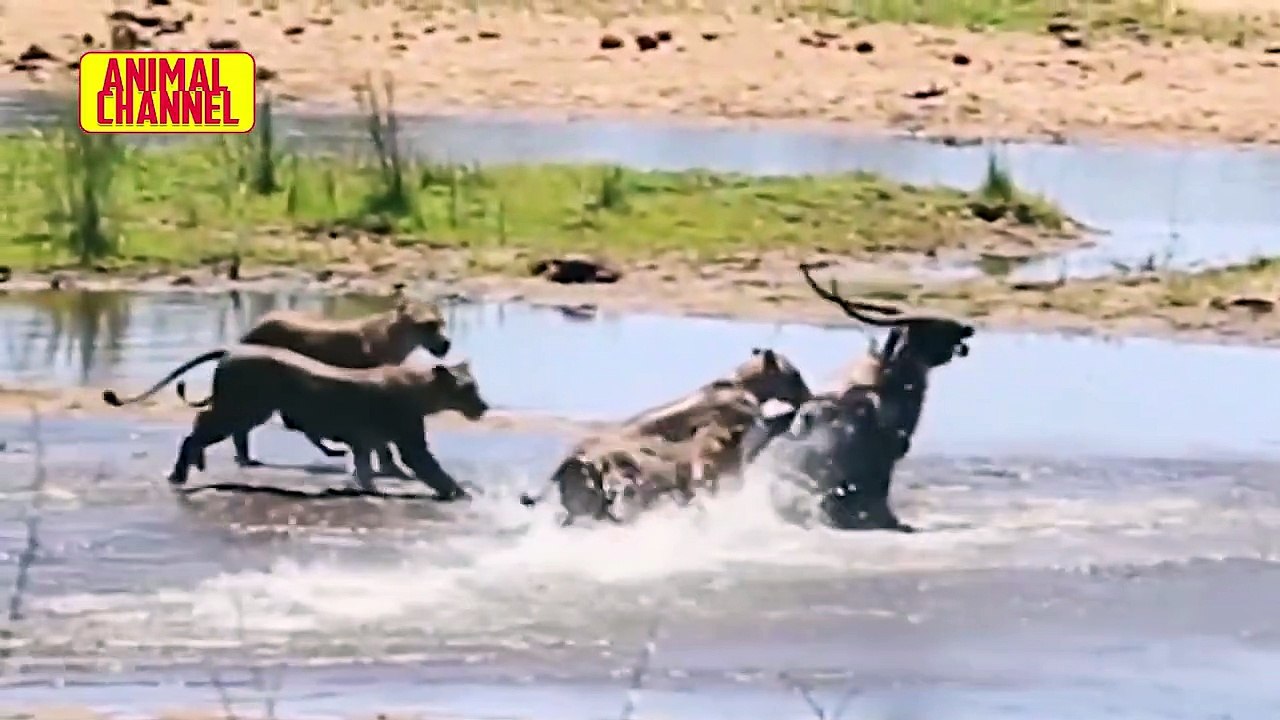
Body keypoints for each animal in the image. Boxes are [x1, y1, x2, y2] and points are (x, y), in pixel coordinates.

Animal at [159, 344, 488, 497]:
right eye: (468, 388)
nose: (484, 407)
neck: (422, 390)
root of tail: (231, 349)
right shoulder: (410, 443)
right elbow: (432, 469)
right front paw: (460, 493)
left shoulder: (365, 442)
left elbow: (365, 469)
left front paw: (368, 489)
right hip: (240, 409)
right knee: (197, 429)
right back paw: (180, 474)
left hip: (243, 410)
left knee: (203, 426)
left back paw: (192, 467)